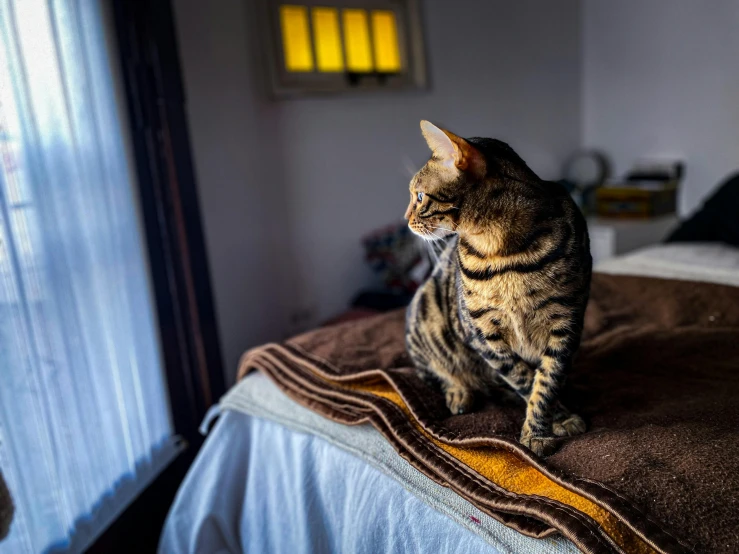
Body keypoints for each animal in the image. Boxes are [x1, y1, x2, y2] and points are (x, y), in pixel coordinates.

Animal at [402, 123, 592, 454]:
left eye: (420, 196)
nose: (405, 219)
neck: (501, 251)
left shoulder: (566, 324)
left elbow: (546, 381)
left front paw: (544, 425)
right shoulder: (482, 333)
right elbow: (524, 378)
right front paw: (547, 425)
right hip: (425, 318)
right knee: (438, 374)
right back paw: (460, 393)